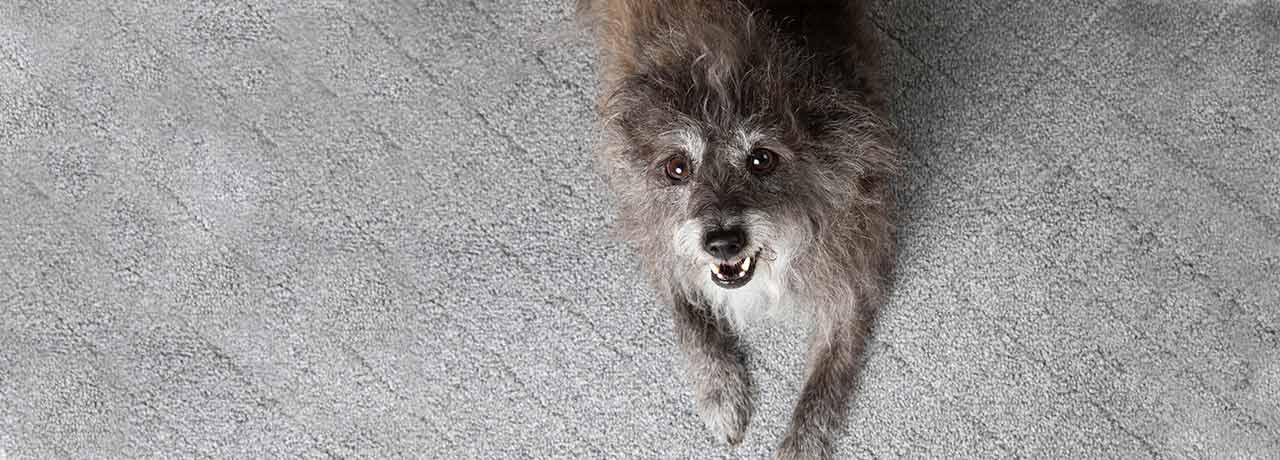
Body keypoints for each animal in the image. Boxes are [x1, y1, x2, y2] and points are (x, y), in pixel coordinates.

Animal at [576, 1, 896, 458]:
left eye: (761, 159)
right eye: (677, 167)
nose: (723, 242)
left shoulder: (851, 270)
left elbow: (826, 379)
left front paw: (801, 444)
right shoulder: (659, 242)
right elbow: (690, 317)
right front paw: (721, 395)